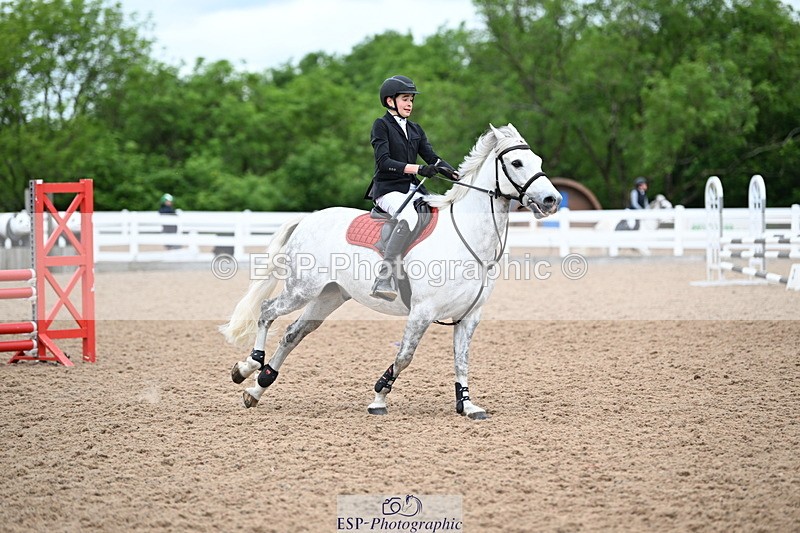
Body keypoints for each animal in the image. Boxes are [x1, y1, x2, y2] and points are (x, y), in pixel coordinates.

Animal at [220, 124, 562, 419]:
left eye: (538, 161)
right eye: (516, 162)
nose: (552, 200)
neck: (465, 239)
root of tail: (308, 218)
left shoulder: (469, 316)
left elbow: (461, 361)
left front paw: (467, 405)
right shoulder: (423, 311)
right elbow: (405, 356)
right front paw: (378, 398)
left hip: (330, 295)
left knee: (293, 333)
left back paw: (256, 388)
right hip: (301, 289)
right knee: (267, 311)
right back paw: (248, 366)